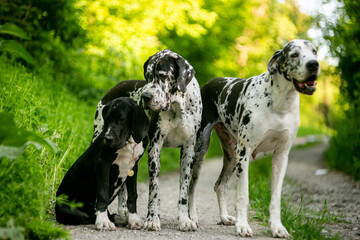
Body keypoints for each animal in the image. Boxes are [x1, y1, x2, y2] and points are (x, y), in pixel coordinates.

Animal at [54, 97, 149, 231]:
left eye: (121, 119)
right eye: (107, 119)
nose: (107, 138)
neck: (128, 143)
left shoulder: (133, 167)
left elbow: (132, 194)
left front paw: (133, 219)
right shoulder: (102, 164)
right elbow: (102, 194)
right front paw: (103, 221)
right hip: (74, 212)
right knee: (89, 216)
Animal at [93, 49, 202, 232]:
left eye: (163, 76)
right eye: (148, 76)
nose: (146, 96)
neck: (176, 106)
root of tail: (112, 90)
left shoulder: (188, 151)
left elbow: (184, 191)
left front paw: (185, 220)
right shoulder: (155, 148)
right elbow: (154, 190)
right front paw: (152, 219)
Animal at [190, 40, 320, 237]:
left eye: (314, 52)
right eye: (294, 54)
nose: (313, 64)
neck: (280, 102)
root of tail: (207, 83)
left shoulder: (281, 155)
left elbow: (276, 197)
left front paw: (277, 227)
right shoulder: (244, 153)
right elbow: (243, 195)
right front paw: (243, 226)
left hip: (231, 156)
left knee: (219, 185)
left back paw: (224, 217)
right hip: (202, 149)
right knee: (192, 185)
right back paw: (191, 217)